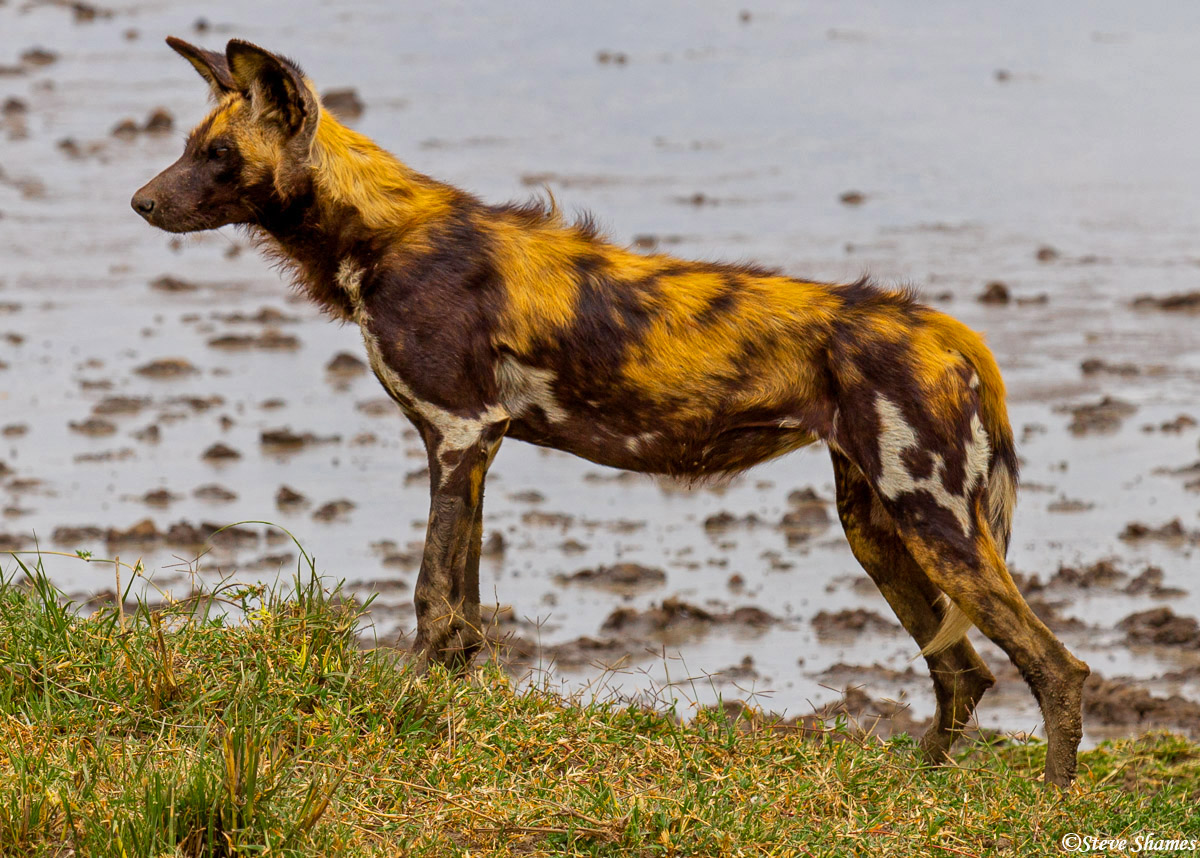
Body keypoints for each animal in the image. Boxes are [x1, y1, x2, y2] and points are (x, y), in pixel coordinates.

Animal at [131, 36, 1089, 787]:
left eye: (218, 158)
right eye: (187, 147)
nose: (140, 202)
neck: (380, 234)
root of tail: (948, 331)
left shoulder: (457, 435)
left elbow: (432, 600)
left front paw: (401, 715)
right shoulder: (478, 446)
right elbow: (465, 612)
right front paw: (450, 715)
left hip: (935, 523)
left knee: (1057, 666)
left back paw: (1049, 803)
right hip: (878, 528)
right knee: (963, 672)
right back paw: (917, 785)